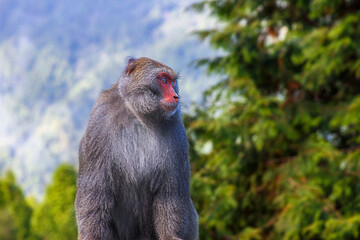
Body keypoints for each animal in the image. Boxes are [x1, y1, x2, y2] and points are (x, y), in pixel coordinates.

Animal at [75, 56, 198, 240]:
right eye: (164, 80)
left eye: (173, 82)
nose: (176, 96)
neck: (139, 116)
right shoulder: (100, 118)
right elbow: (95, 191)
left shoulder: (176, 129)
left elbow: (171, 193)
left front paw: (170, 235)